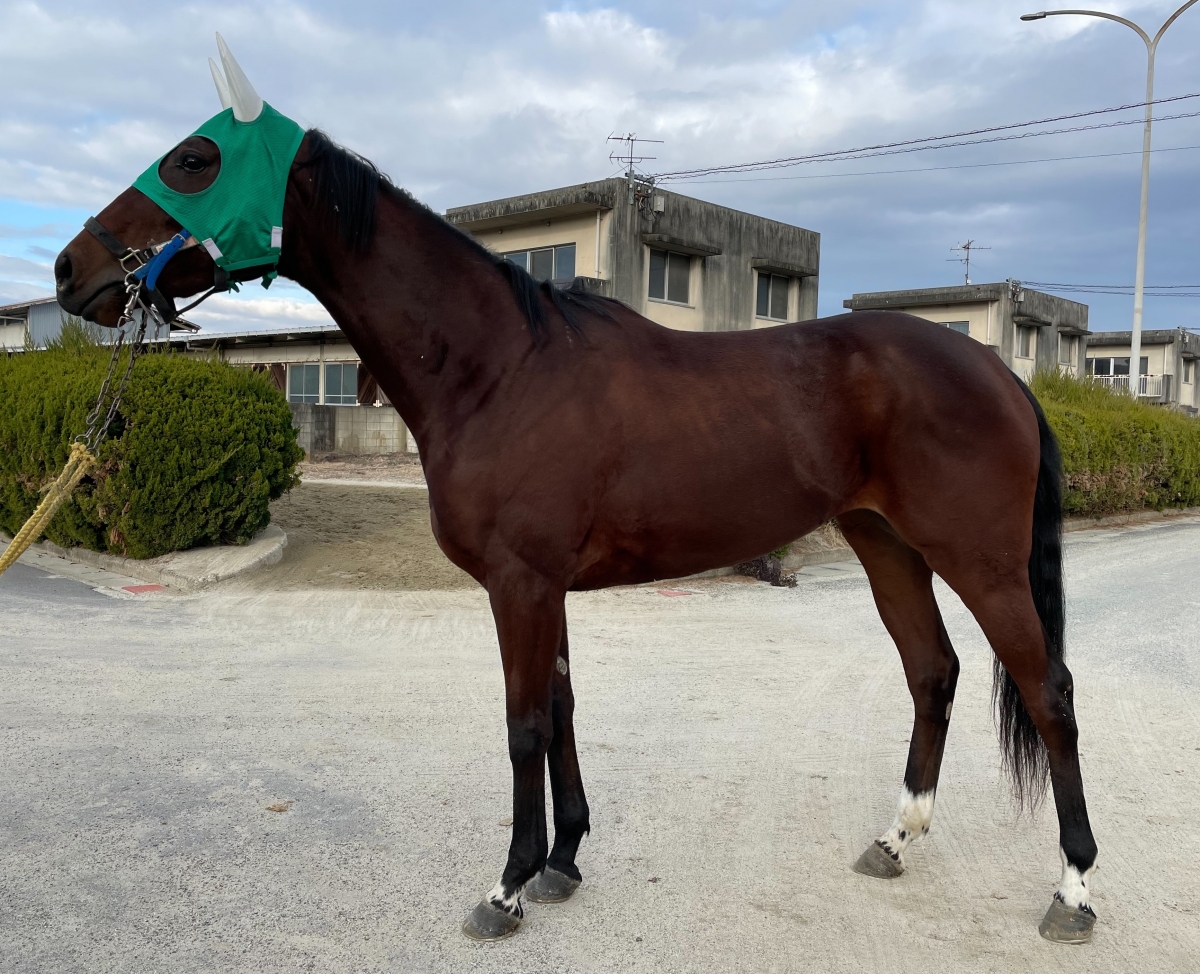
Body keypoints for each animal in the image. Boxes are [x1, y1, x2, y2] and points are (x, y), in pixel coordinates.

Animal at [54, 68, 1098, 947]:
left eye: (195, 160)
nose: (70, 272)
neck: (499, 368)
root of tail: (1000, 371)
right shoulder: (544, 586)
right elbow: (559, 710)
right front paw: (562, 862)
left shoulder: (519, 584)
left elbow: (523, 724)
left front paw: (508, 886)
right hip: (886, 545)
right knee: (933, 673)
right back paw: (895, 840)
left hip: (980, 560)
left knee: (1048, 693)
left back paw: (1074, 889)